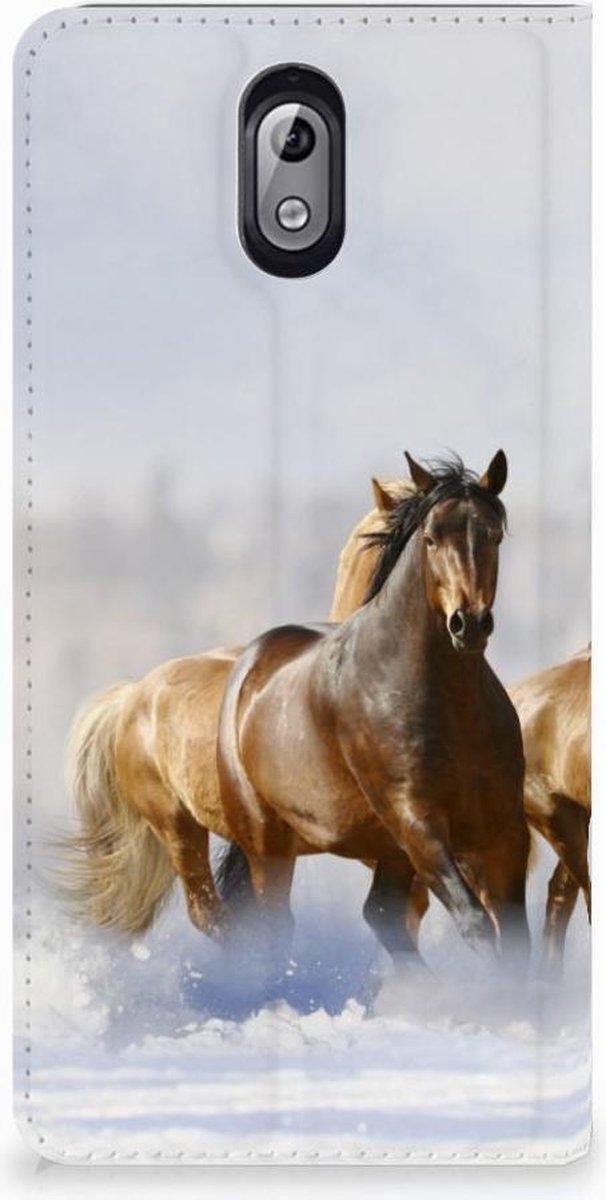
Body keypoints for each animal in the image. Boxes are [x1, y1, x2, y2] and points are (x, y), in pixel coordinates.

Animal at [216, 451, 530, 965]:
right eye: (431, 538)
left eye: (493, 535)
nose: (468, 624)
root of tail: (250, 664)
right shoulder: (417, 822)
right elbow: (476, 923)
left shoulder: (504, 830)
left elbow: (518, 941)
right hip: (269, 843)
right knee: (276, 926)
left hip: (387, 852)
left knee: (382, 914)